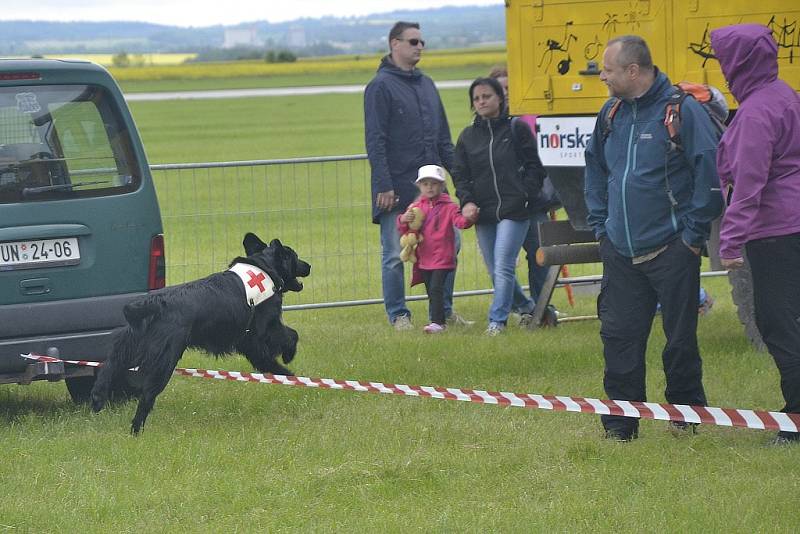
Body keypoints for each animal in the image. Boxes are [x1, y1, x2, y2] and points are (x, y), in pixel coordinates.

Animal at [90, 234, 310, 436]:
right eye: (295, 256)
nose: (308, 265)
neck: (265, 266)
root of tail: (155, 303)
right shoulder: (260, 332)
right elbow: (291, 335)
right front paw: (287, 365)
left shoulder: (248, 341)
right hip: (164, 361)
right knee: (146, 396)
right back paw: (136, 430)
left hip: (133, 345)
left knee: (110, 365)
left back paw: (98, 399)